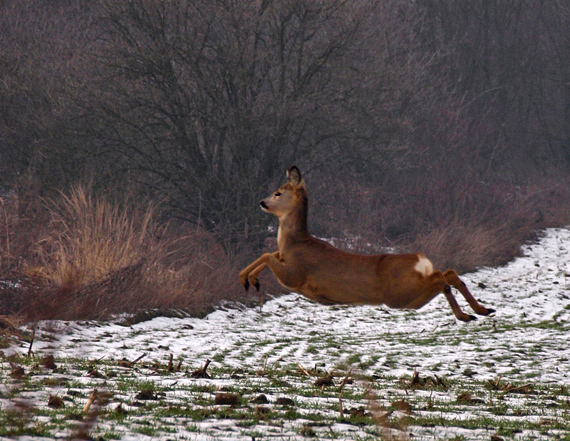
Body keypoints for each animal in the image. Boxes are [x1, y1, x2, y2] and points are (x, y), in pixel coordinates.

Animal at [240, 165, 492, 320]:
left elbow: (268, 255)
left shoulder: (295, 275)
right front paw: (246, 279)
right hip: (411, 296)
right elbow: (269, 254)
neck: (294, 243)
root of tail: (420, 259)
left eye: (278, 192)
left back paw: (465, 315)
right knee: (449, 273)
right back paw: (482, 309)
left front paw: (249, 279)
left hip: (400, 294)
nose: (262, 202)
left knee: (441, 279)